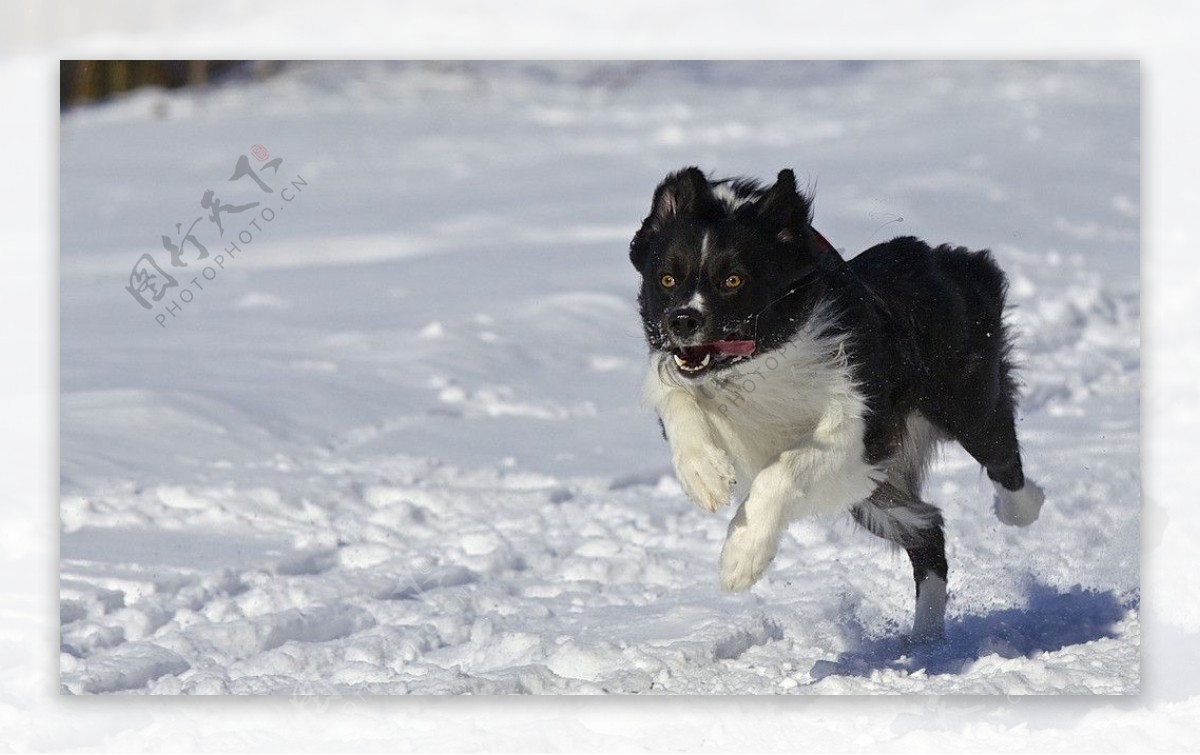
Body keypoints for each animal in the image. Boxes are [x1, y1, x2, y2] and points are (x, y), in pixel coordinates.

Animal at [633, 168, 1046, 638]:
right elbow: (676, 394)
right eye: (666, 279)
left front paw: (741, 557)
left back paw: (1021, 509)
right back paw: (926, 640)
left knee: (1002, 463)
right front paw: (704, 475)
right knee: (929, 531)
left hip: (967, 404)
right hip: (874, 494)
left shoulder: (860, 430)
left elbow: (782, 470)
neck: (762, 360)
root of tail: (953, 261)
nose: (682, 320)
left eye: (733, 280)